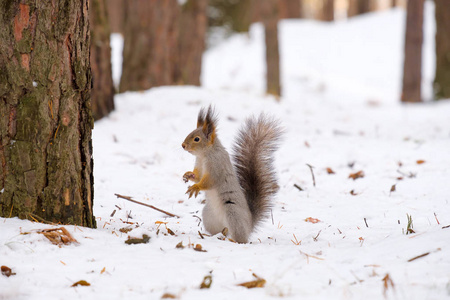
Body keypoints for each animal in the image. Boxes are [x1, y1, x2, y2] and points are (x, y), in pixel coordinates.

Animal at [180, 106, 282, 244]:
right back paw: (211, 236)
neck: (204, 155)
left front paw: (196, 187)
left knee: (240, 238)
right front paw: (188, 175)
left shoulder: (216, 167)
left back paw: (233, 240)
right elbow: (198, 177)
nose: (183, 145)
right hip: (208, 215)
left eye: (197, 139)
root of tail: (250, 224)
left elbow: (209, 181)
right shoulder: (200, 166)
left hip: (233, 214)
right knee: (220, 230)